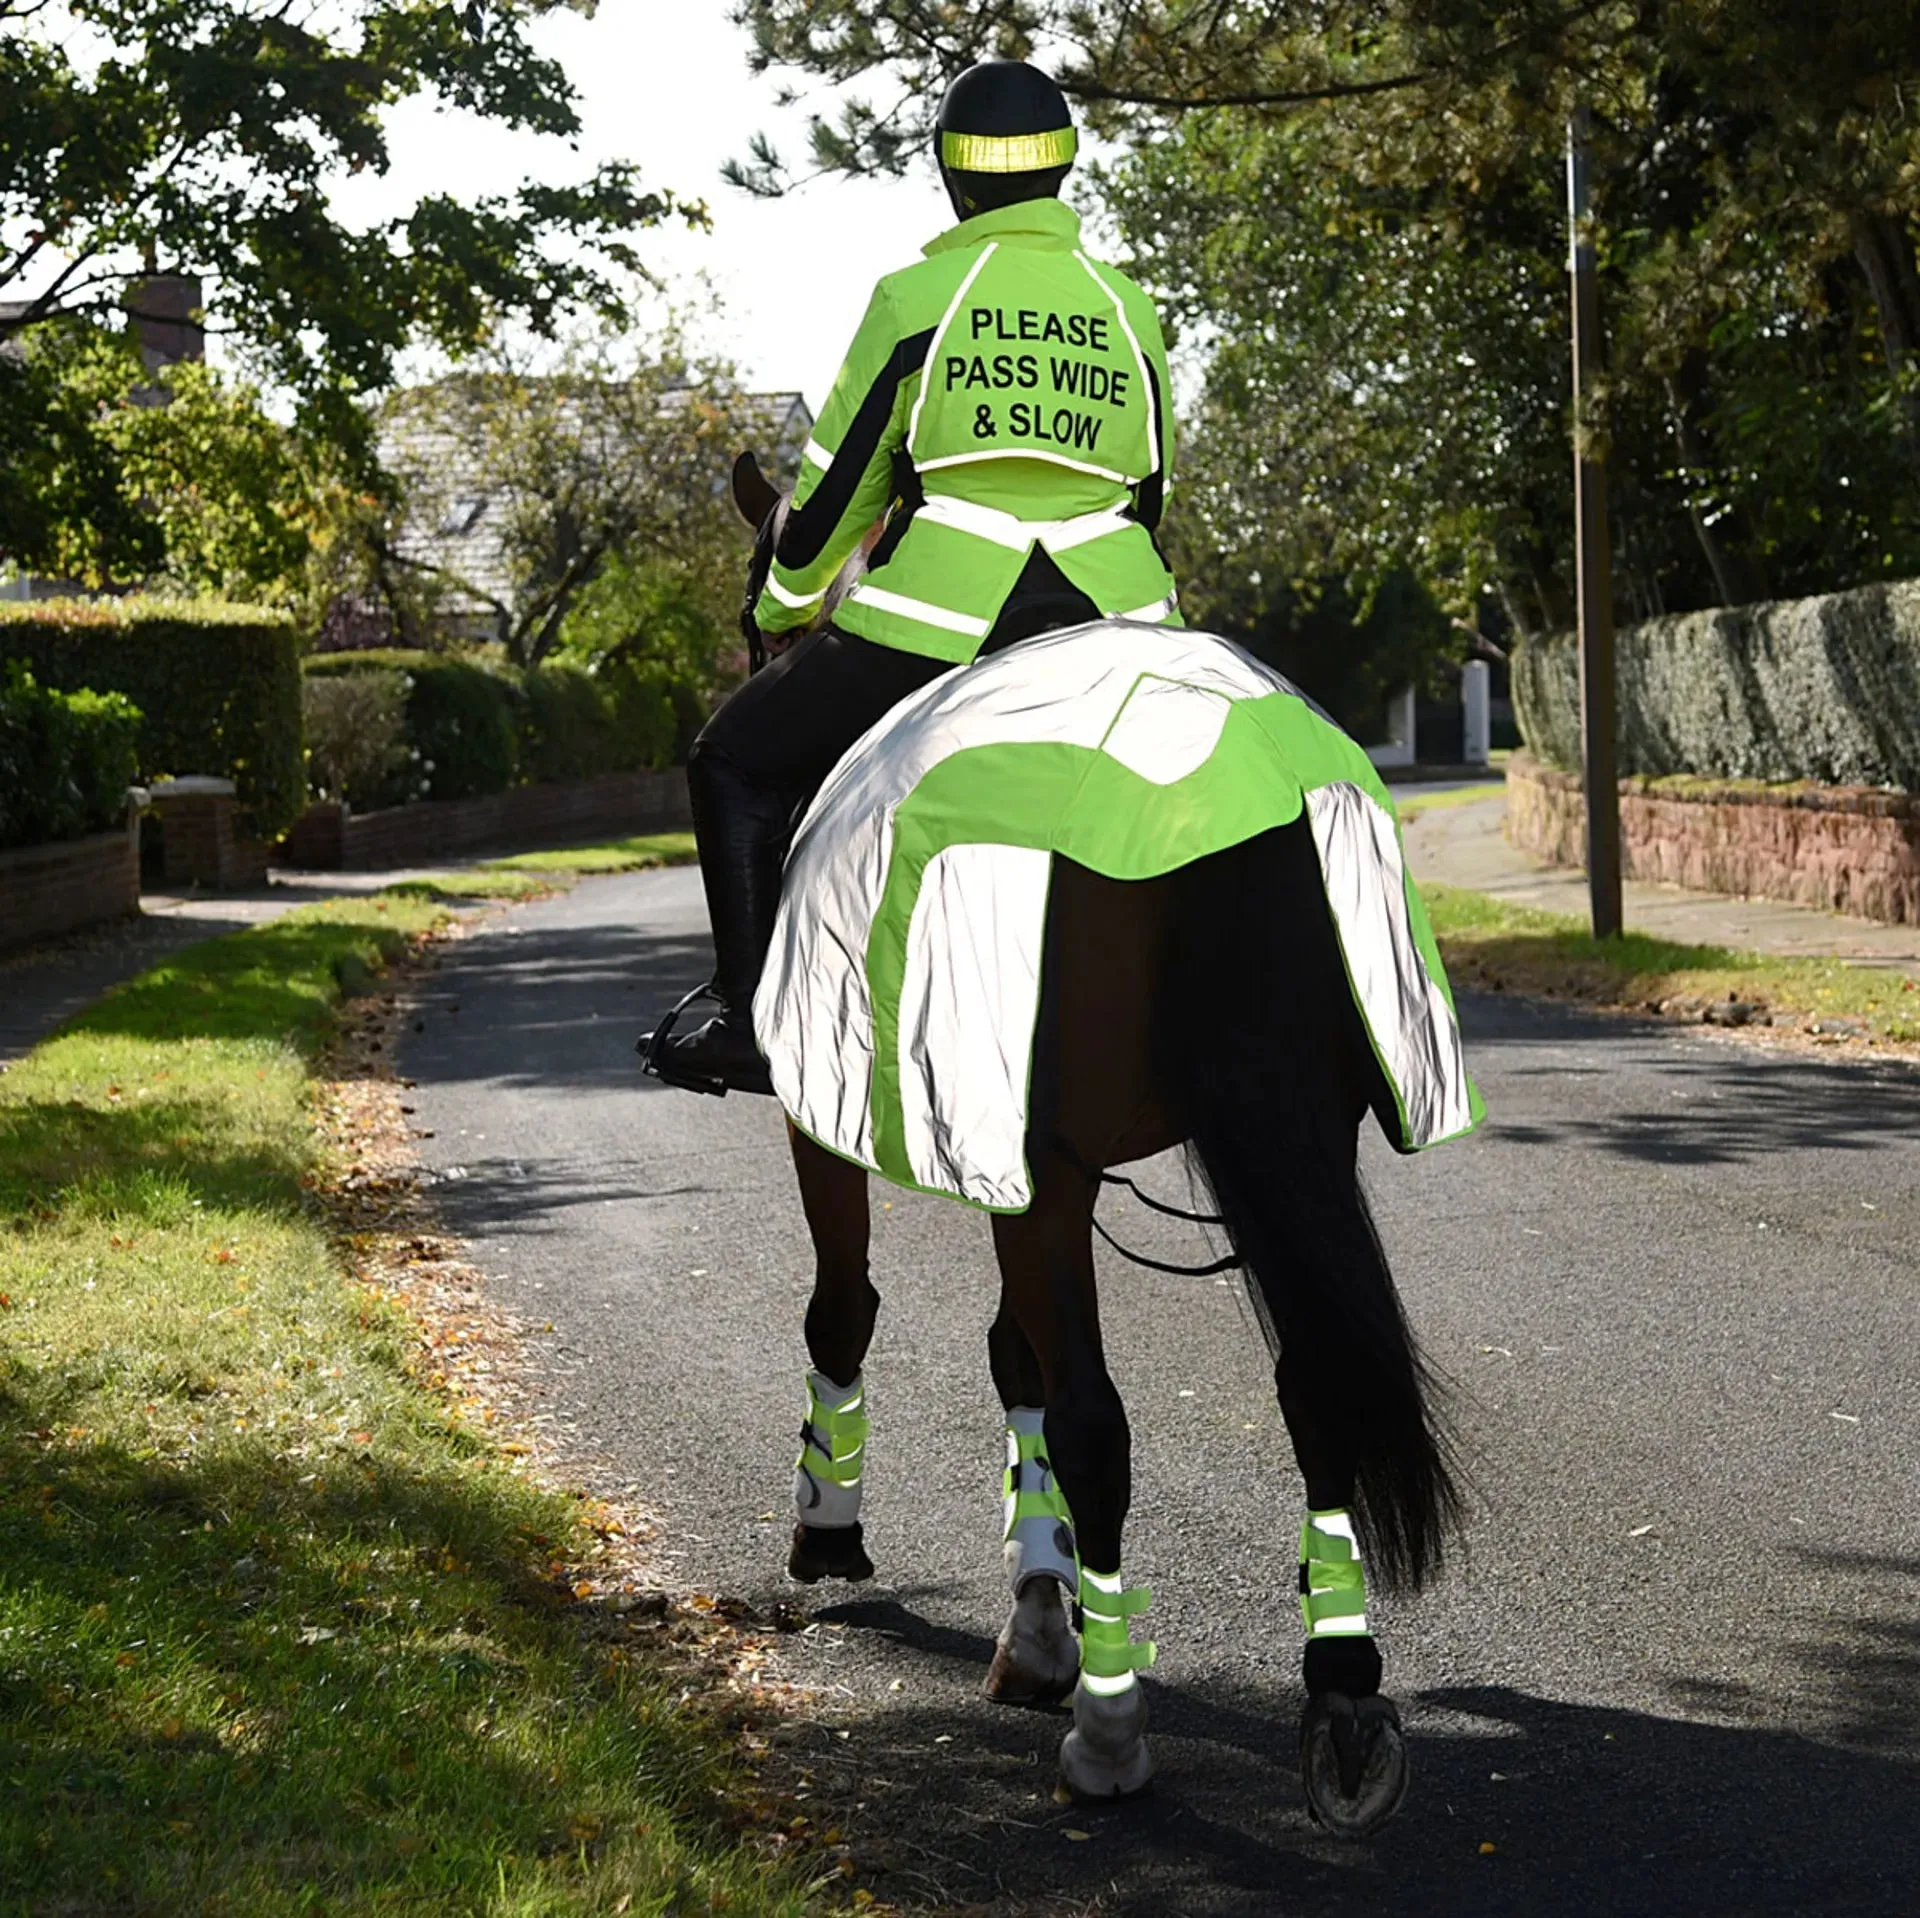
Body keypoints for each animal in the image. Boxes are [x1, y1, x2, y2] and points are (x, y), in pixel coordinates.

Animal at [660, 456, 1451, 1835]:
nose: (764, 632)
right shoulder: (1011, 1153)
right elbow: (1006, 1349)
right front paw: (1040, 1610)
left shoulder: (876, 1128)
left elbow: (849, 1307)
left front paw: (834, 1529)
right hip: (1294, 1135)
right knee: (1312, 1386)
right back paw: (1343, 1691)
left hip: (1075, 1158)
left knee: (1099, 1421)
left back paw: (1110, 1734)